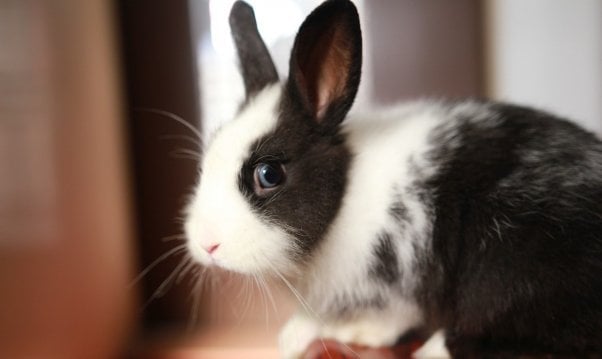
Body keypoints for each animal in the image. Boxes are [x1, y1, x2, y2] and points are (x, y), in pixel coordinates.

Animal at [183, 0, 600, 358]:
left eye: (268, 174)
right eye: (208, 158)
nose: (207, 244)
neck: (343, 197)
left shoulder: (396, 282)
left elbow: (386, 321)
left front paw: (340, 333)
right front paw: (293, 336)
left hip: (507, 274)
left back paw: (433, 349)